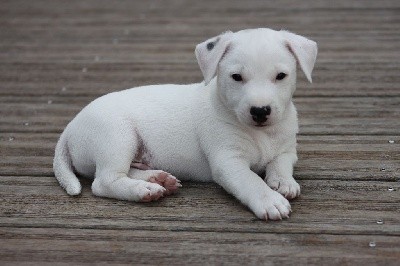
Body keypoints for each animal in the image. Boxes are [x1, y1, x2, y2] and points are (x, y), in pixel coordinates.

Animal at [53, 28, 318, 220]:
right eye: (236, 77)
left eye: (281, 76)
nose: (260, 111)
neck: (260, 133)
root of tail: (69, 128)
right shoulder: (228, 161)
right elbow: (250, 180)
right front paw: (269, 200)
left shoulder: (286, 150)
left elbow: (281, 163)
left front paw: (283, 182)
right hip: (117, 137)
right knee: (104, 181)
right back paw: (143, 190)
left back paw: (157, 179)